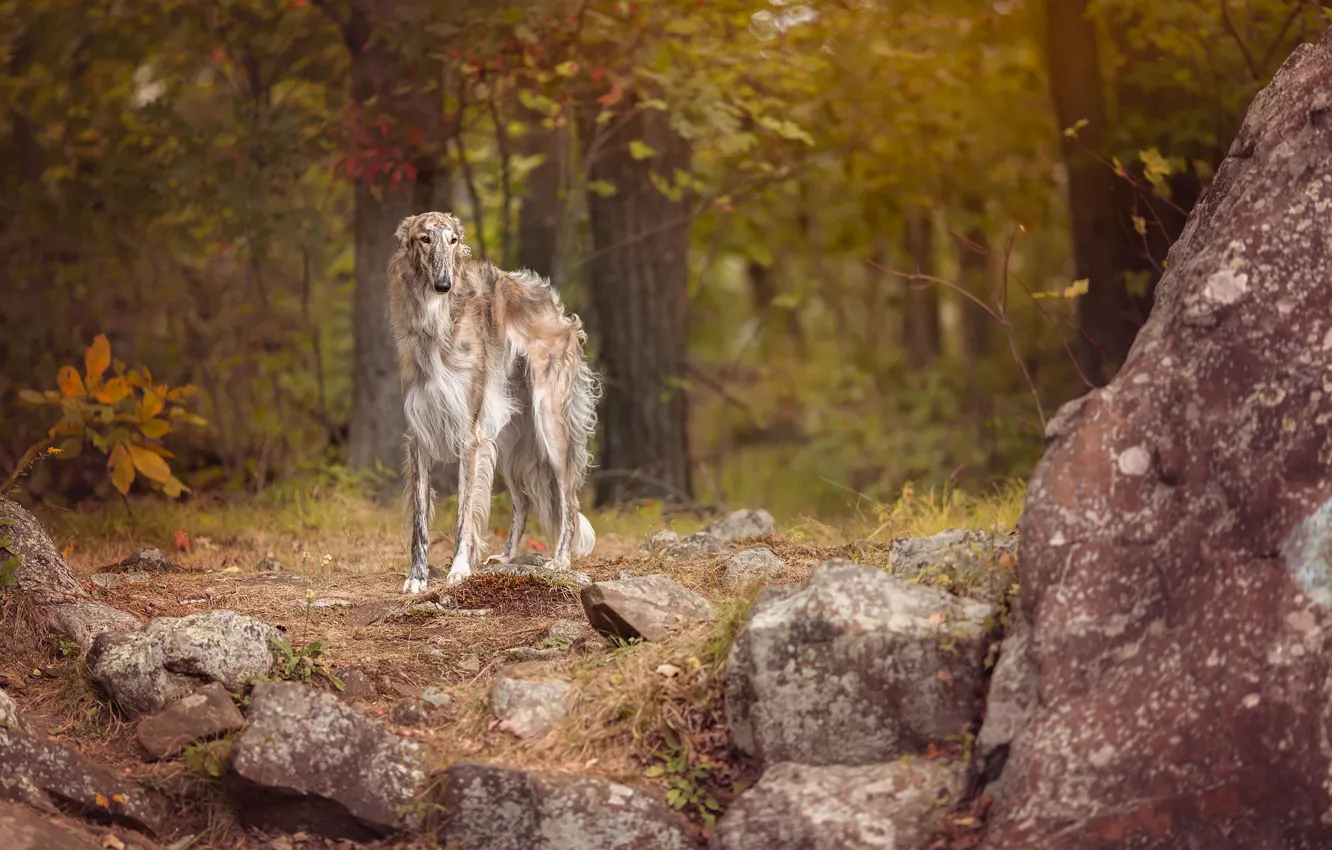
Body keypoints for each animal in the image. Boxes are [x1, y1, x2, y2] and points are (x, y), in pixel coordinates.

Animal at [388, 211, 602, 591]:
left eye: (453, 240)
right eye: (424, 238)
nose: (443, 284)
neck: (437, 323)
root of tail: (555, 306)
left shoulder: (469, 437)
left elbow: (463, 514)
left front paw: (459, 569)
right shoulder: (419, 435)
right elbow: (420, 521)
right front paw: (417, 577)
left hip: (549, 425)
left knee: (569, 500)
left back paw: (560, 560)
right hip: (506, 439)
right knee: (523, 502)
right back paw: (506, 557)